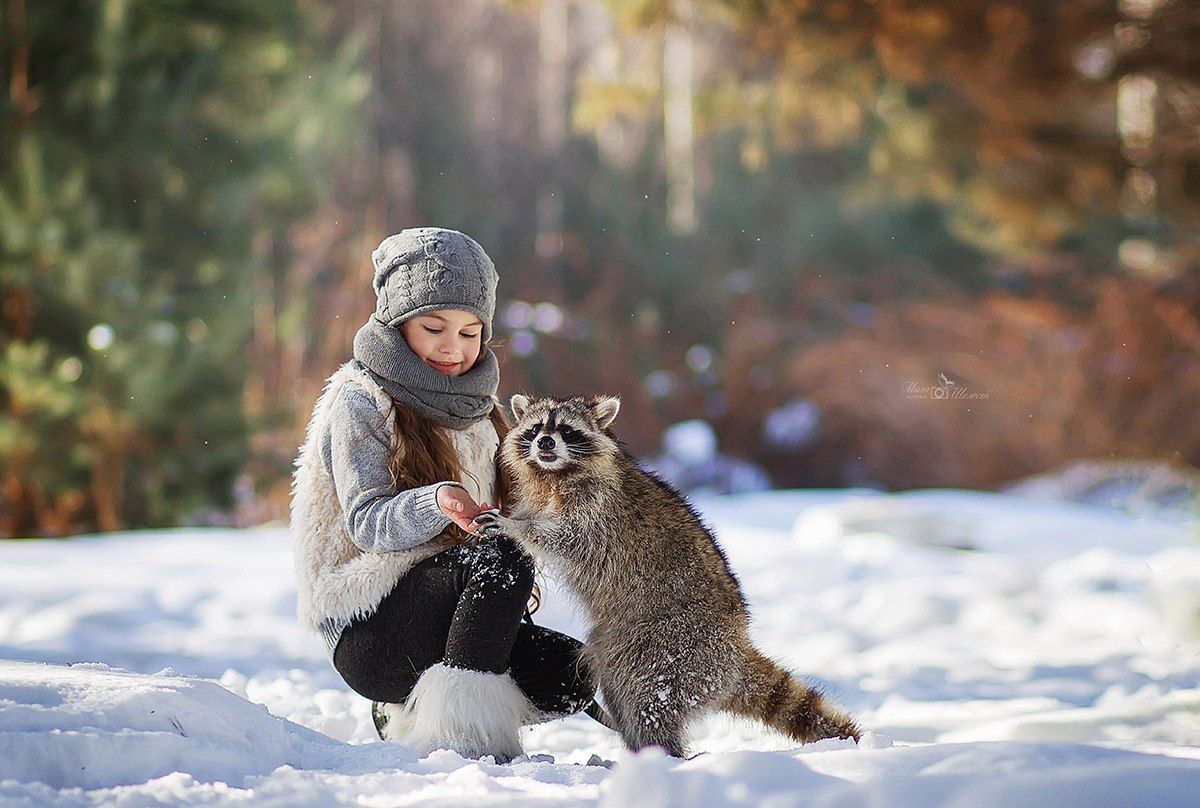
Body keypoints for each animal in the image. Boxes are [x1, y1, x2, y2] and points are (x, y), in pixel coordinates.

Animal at [472, 393, 859, 758]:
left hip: (672, 644)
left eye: (566, 431)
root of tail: (735, 647)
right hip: (626, 644)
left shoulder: (597, 511)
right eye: (536, 429)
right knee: (619, 689)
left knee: (648, 699)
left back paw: (659, 755)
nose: (545, 443)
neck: (555, 473)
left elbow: (565, 538)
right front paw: (518, 521)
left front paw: (517, 528)